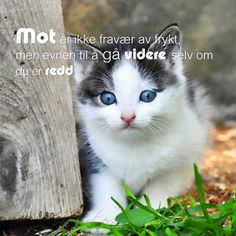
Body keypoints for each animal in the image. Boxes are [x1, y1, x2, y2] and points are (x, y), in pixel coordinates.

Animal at [69, 23, 210, 225]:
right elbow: (106, 186)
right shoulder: (93, 153)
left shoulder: (182, 157)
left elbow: (160, 186)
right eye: (107, 98)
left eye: (147, 96)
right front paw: (105, 217)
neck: (134, 144)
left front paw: (152, 212)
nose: (128, 117)